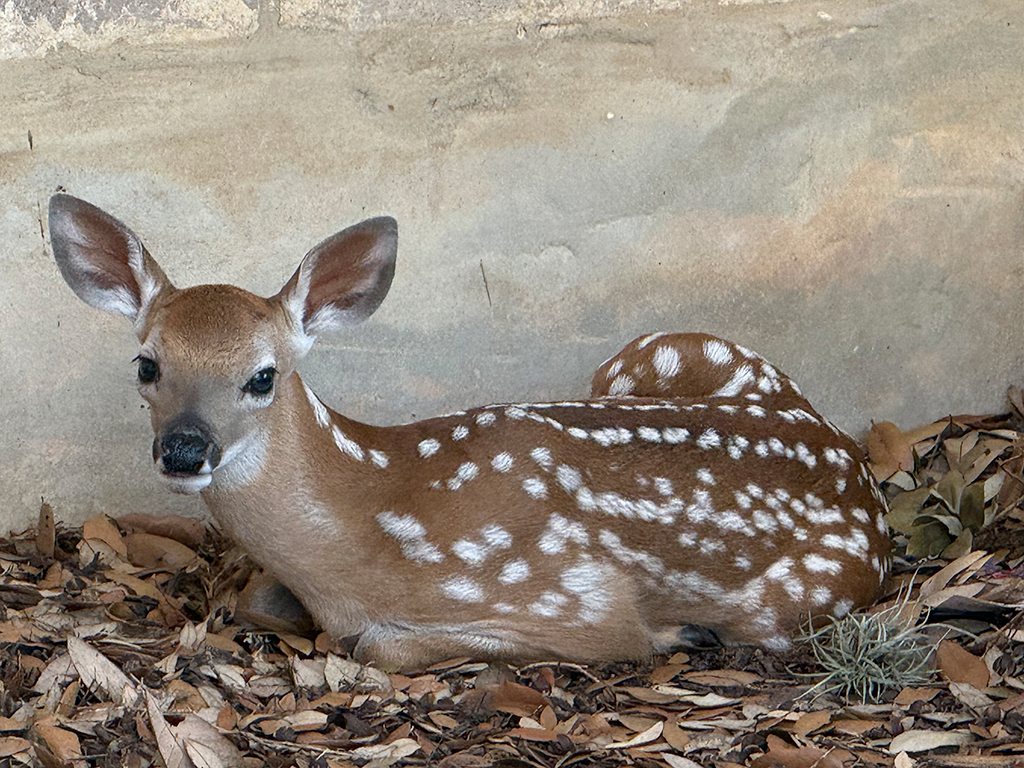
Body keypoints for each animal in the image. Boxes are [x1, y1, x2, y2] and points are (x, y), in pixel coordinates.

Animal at [48, 194, 890, 672]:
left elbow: (382, 645)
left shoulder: (576, 597)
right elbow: (259, 598)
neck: (369, 521)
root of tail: (854, 468)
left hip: (793, 601)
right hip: (655, 349)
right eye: (147, 364)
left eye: (262, 376)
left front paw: (673, 635)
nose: (185, 449)